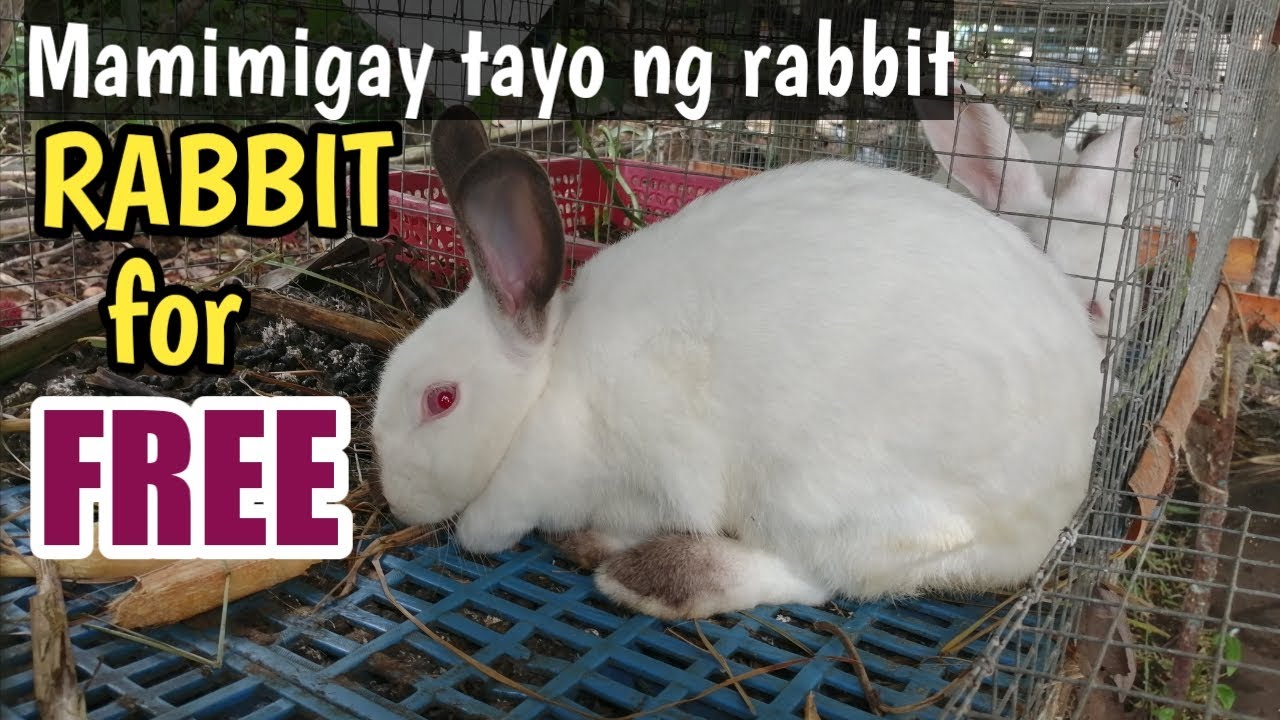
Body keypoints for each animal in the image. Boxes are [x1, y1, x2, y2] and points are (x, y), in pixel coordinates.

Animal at [371, 105, 1103, 621]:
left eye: (441, 400)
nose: (396, 502)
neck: (548, 391)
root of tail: (1057, 508)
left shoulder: (637, 476)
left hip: (819, 499)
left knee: (821, 578)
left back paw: (647, 576)